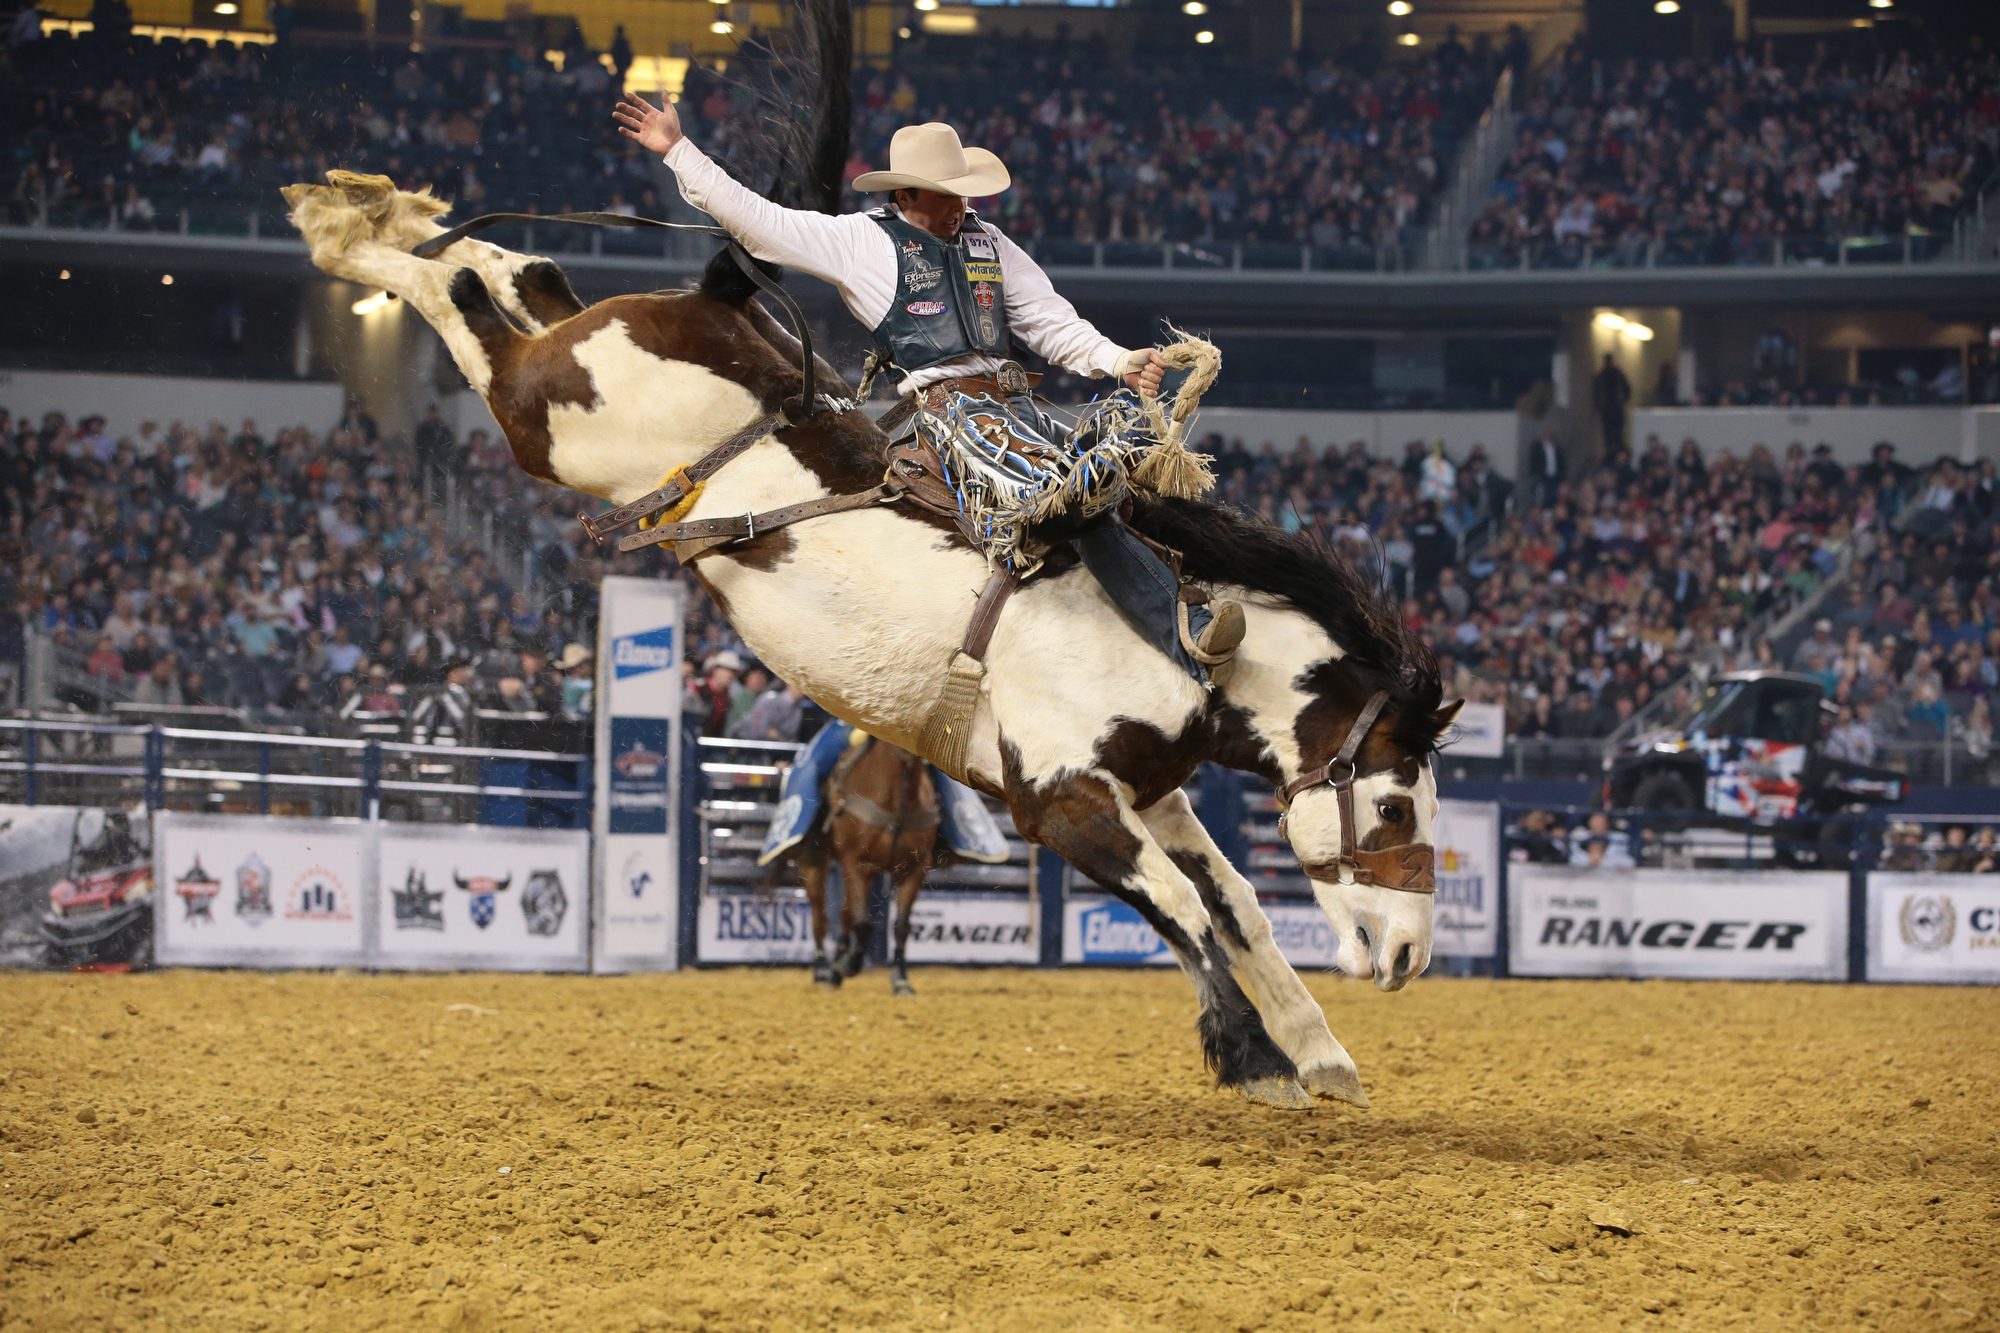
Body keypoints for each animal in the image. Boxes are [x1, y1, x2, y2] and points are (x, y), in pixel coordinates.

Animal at [282, 0, 1464, 1104]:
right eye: (1397, 805)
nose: (1410, 955)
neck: (1177, 639)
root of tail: (718, 299)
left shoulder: (1155, 792)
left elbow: (1237, 906)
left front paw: (1318, 1055)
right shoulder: (1063, 800)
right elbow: (1185, 912)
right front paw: (1249, 1050)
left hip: (577, 350)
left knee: (516, 270)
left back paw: (397, 213)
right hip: (547, 420)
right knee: (461, 301)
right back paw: (344, 228)